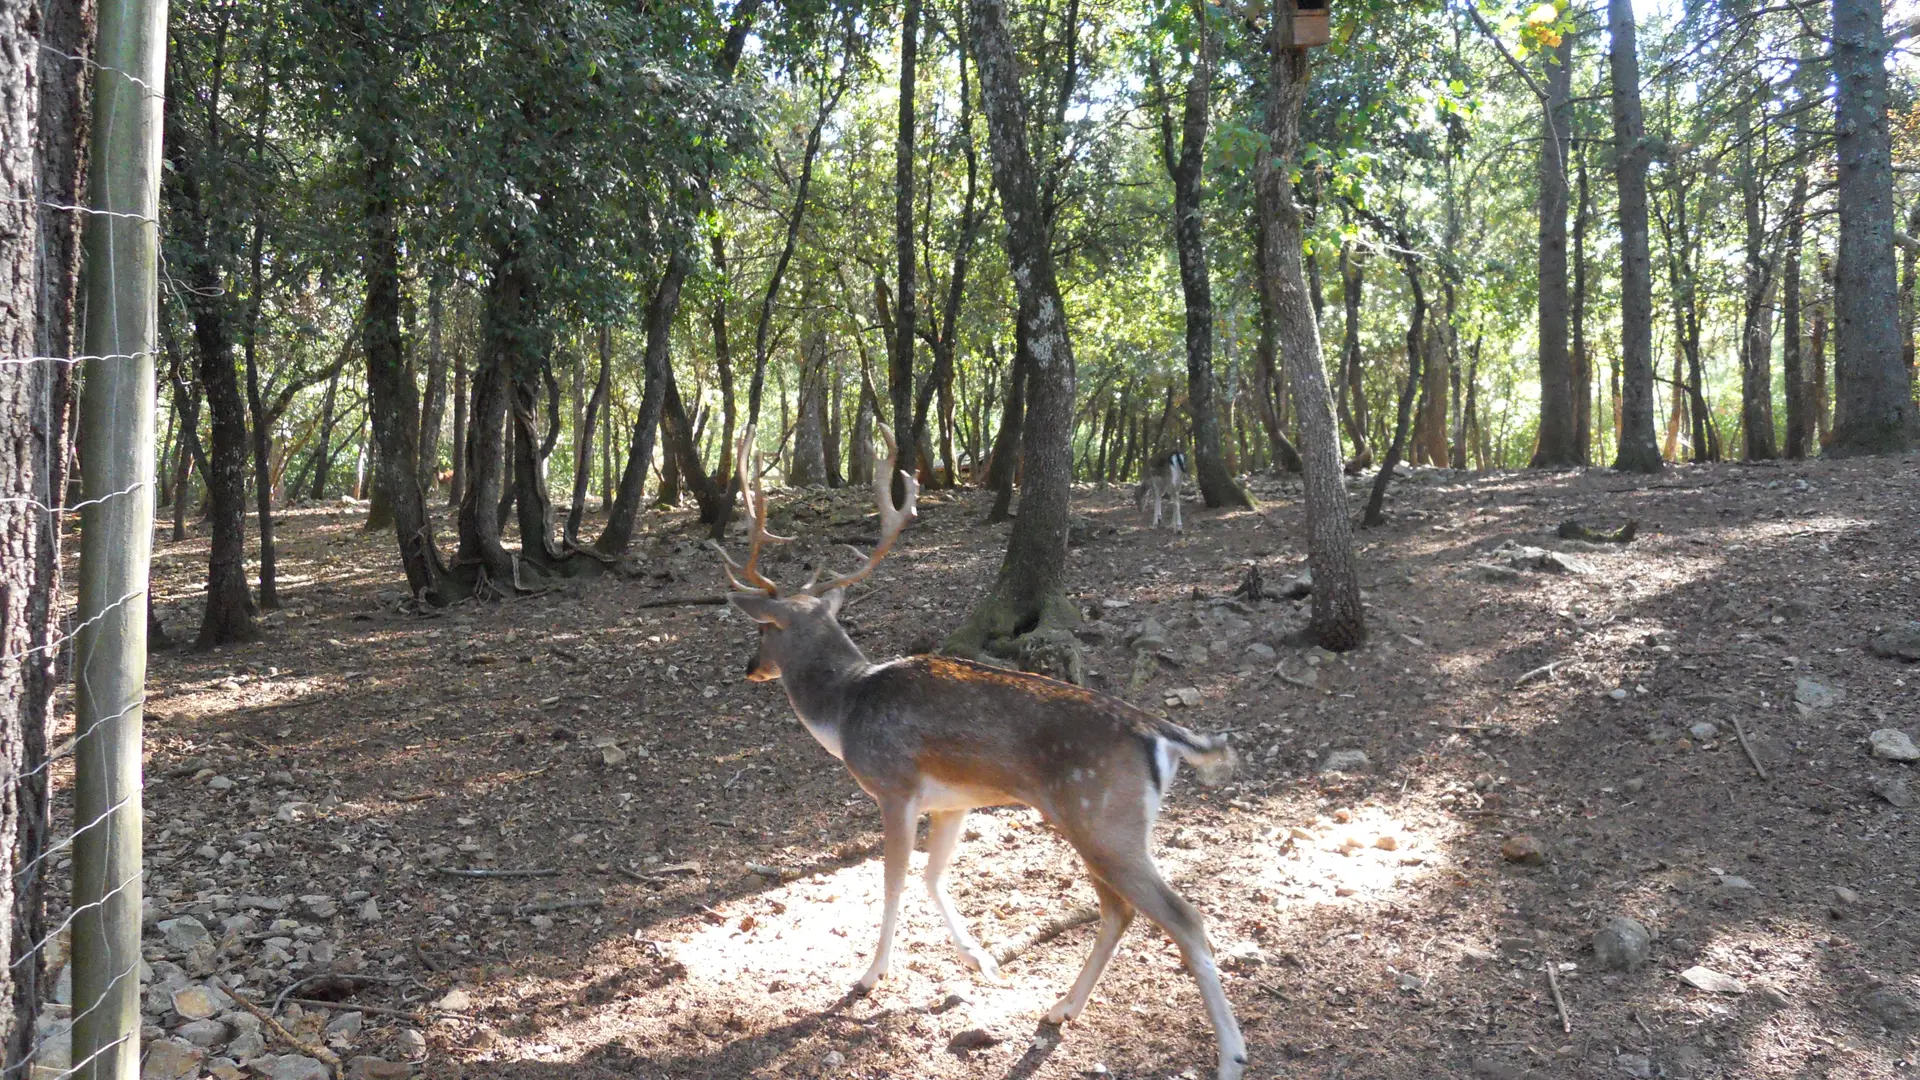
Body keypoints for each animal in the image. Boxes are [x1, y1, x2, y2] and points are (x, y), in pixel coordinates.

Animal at [718, 424, 1244, 1068]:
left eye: (763, 628)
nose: (750, 667)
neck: (845, 712)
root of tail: (1162, 735)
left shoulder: (894, 788)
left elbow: (893, 881)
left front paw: (869, 976)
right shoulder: (954, 802)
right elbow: (932, 876)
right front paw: (982, 960)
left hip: (1103, 818)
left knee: (1182, 916)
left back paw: (1231, 1055)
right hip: (1094, 824)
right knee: (1118, 909)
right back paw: (1061, 1008)